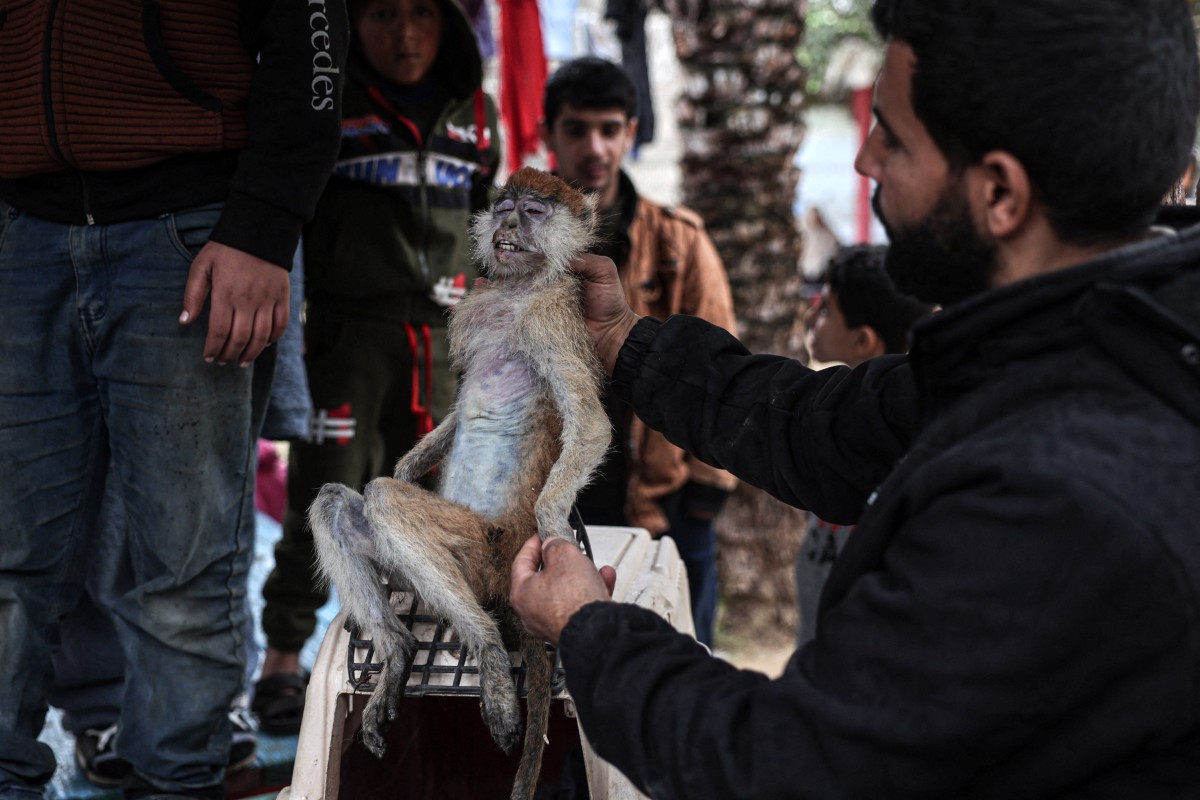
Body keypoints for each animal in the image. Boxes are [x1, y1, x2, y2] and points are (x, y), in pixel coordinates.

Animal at [310, 166, 610, 800]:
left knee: (384, 502)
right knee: (338, 505)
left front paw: (553, 526)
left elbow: (591, 421)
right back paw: (399, 652)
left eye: (534, 210)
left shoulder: (553, 316)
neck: (517, 291)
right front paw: (408, 465)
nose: (508, 226)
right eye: (504, 207)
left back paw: (489, 648)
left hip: (484, 553)